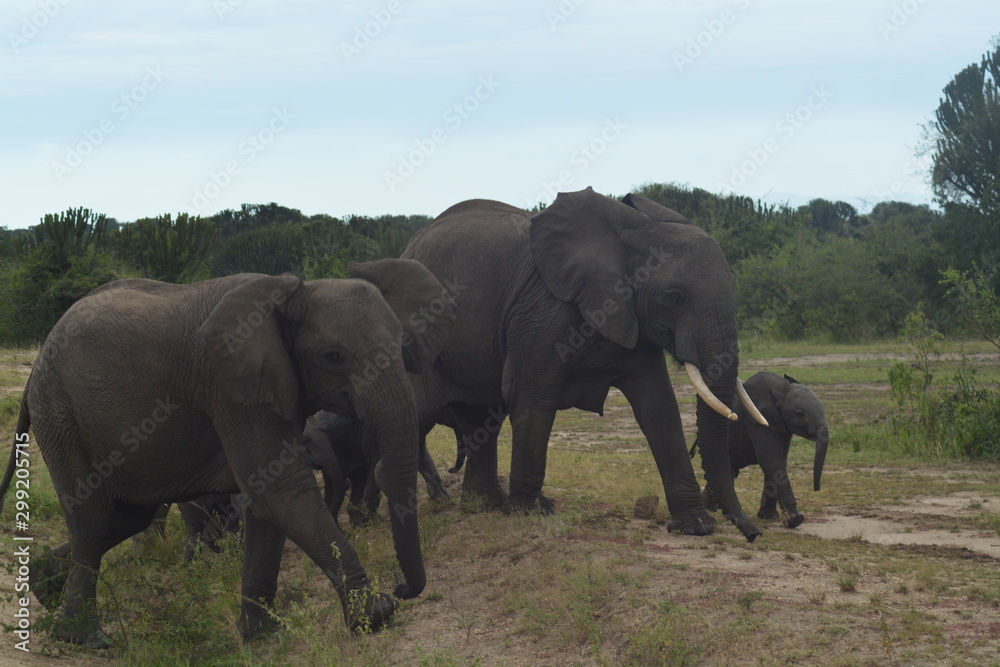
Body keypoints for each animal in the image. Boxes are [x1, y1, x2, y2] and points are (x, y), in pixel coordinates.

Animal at [400, 187, 767, 540]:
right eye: (674, 297)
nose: (751, 533)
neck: (635, 232)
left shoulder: (631, 316)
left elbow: (659, 407)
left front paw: (696, 526)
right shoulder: (542, 313)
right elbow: (532, 396)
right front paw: (527, 512)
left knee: (480, 419)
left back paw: (482, 506)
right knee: (420, 415)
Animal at [699, 372, 829, 528]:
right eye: (800, 414)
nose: (817, 489)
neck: (781, 389)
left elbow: (778, 462)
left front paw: (769, 517)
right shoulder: (758, 420)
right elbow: (771, 461)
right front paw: (795, 519)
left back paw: (711, 508)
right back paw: (712, 509)